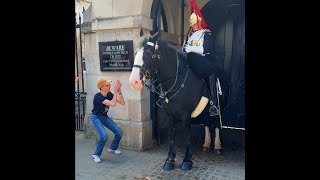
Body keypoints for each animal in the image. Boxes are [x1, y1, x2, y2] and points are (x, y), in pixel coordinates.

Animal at [129, 34, 221, 171]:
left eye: (148, 53)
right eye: (136, 52)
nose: (133, 81)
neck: (175, 79)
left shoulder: (185, 115)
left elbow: (187, 136)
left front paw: (187, 160)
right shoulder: (169, 114)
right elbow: (171, 135)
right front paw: (170, 159)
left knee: (216, 123)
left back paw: (217, 146)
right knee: (207, 123)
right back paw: (206, 144)